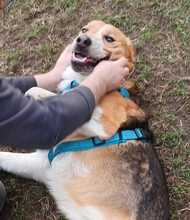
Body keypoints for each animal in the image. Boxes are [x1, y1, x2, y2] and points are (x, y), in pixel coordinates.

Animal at [0, 21, 169, 220]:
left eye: (109, 38)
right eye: (84, 30)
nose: (81, 40)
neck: (83, 78)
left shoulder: (104, 125)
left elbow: (62, 101)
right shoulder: (42, 164)